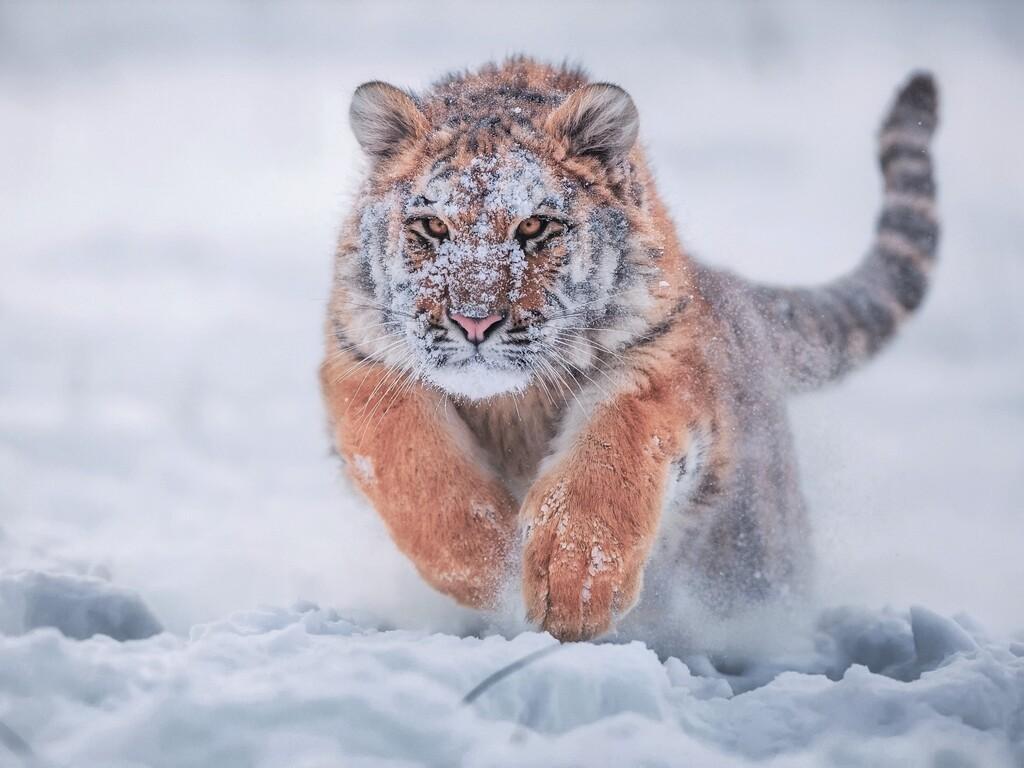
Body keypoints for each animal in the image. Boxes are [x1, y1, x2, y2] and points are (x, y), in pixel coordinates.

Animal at [320, 57, 939, 642]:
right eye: (432, 226)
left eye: (535, 227)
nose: (476, 321)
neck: (511, 403)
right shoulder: (363, 362)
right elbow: (414, 467)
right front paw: (490, 565)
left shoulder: (657, 362)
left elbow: (610, 452)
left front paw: (574, 586)